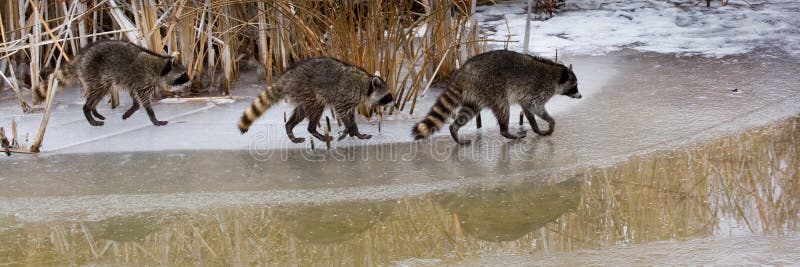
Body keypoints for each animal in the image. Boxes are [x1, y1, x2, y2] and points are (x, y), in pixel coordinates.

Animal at [56, 40, 191, 127]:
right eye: (183, 75)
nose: (190, 82)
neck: (161, 67)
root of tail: (81, 58)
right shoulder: (144, 81)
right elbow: (144, 100)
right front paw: (153, 117)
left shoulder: (133, 82)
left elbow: (135, 99)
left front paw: (132, 109)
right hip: (94, 74)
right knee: (98, 91)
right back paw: (88, 110)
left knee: (99, 93)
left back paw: (94, 110)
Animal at [238, 57, 394, 143]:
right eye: (388, 96)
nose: (395, 103)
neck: (366, 84)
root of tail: (289, 77)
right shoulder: (345, 96)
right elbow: (341, 112)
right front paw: (349, 130)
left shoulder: (352, 101)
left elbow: (350, 116)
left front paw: (355, 132)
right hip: (308, 91)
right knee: (316, 109)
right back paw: (313, 130)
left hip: (302, 95)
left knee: (301, 112)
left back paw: (290, 127)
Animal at [412, 51, 580, 146]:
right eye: (575, 86)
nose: (580, 95)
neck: (556, 74)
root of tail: (464, 71)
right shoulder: (539, 90)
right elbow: (535, 107)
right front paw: (550, 122)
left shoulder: (527, 95)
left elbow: (528, 110)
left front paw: (536, 128)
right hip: (492, 88)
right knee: (503, 108)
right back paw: (507, 132)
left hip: (476, 93)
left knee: (467, 112)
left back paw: (454, 130)